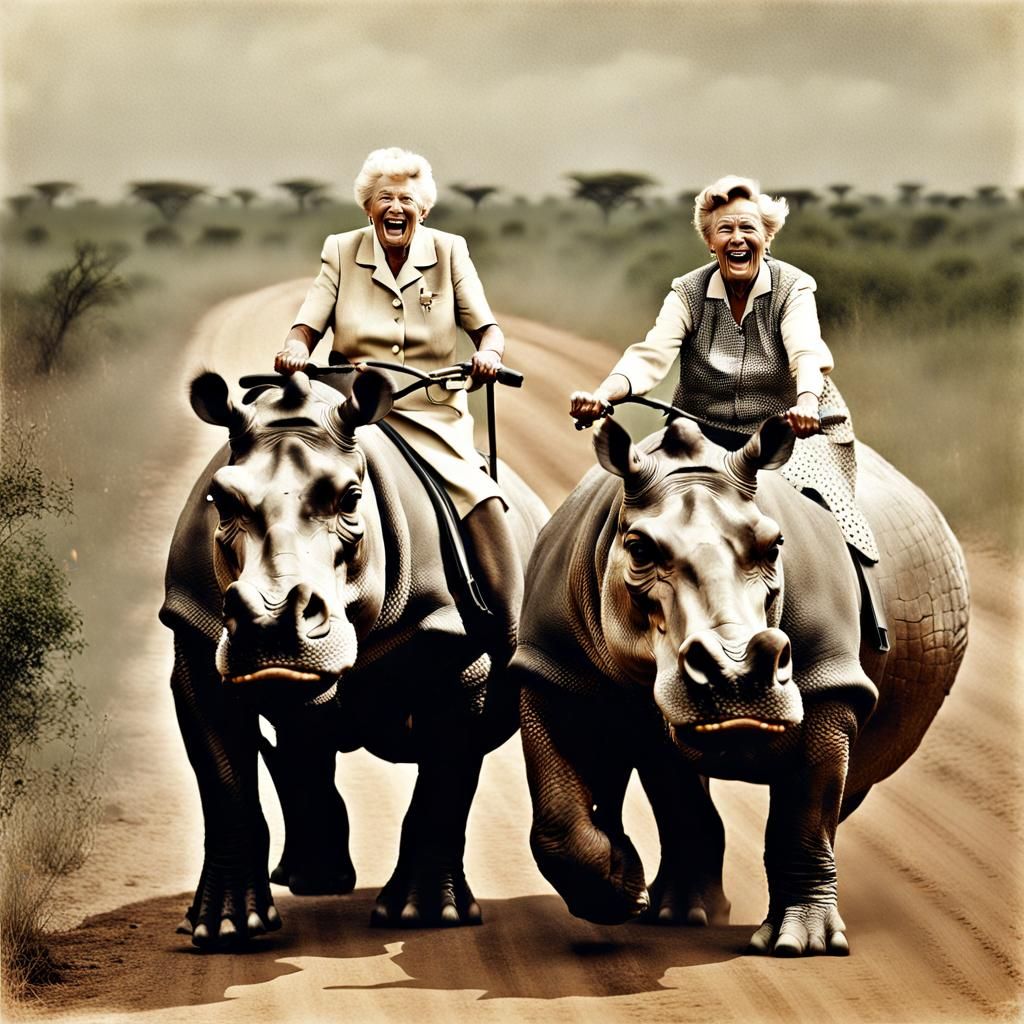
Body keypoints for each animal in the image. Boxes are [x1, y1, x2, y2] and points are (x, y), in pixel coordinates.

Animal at [160, 369, 548, 948]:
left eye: (351, 500)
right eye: (221, 504)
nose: (271, 623)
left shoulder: (455, 642)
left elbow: (445, 774)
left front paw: (423, 917)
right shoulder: (195, 630)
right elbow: (223, 783)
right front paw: (224, 929)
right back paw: (311, 882)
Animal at [512, 415, 968, 956]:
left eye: (775, 548)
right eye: (639, 550)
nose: (736, 676)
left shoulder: (829, 683)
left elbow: (806, 812)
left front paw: (801, 945)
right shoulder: (551, 669)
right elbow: (557, 818)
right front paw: (622, 892)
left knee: (844, 785)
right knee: (669, 770)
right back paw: (676, 915)